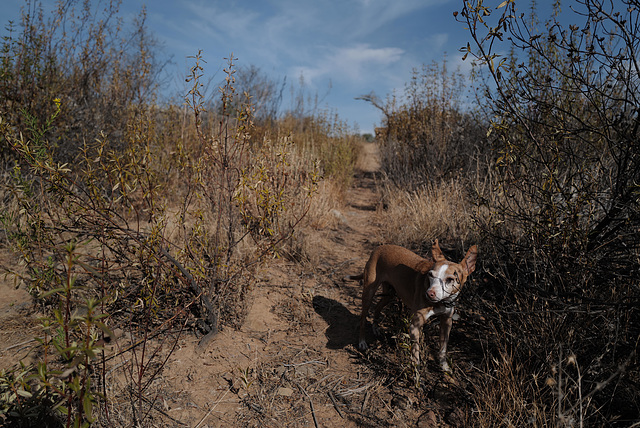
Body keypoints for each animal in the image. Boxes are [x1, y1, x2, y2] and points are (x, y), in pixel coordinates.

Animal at [344, 241, 476, 372]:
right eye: (430, 275)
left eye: (450, 279)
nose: (429, 293)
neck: (441, 302)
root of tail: (379, 247)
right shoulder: (414, 325)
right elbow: (415, 354)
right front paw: (416, 373)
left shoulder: (447, 322)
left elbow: (443, 348)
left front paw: (445, 367)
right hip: (369, 293)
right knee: (363, 319)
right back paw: (362, 342)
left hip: (389, 295)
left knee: (378, 307)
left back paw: (375, 328)